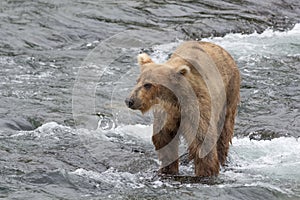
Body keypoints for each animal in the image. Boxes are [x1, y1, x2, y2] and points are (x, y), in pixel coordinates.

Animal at [125, 41, 240, 177]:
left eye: (148, 84)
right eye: (137, 80)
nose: (130, 101)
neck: (175, 99)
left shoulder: (197, 106)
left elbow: (202, 140)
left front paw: (206, 172)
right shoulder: (167, 113)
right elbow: (164, 139)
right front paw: (168, 169)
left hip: (229, 93)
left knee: (225, 131)